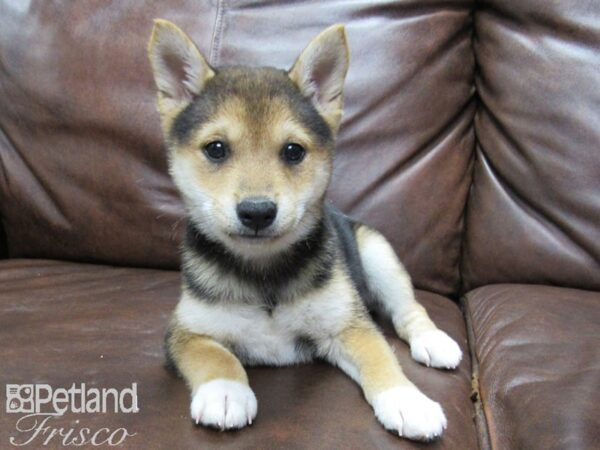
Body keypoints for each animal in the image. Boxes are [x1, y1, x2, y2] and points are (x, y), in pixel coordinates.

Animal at [148, 19, 462, 442]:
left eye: (293, 151)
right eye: (216, 148)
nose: (257, 212)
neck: (264, 272)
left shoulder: (347, 325)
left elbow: (381, 355)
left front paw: (406, 400)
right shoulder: (186, 330)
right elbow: (214, 356)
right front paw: (225, 392)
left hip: (376, 252)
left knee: (409, 310)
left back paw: (433, 341)